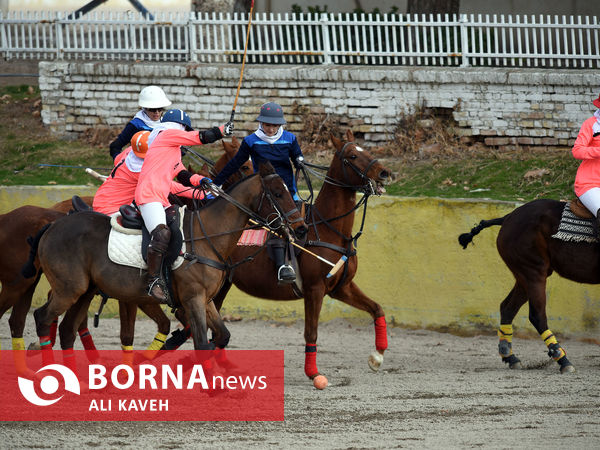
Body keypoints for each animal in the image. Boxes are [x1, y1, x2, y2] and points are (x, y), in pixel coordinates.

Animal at [24, 163, 304, 358]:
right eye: (278, 193)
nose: (300, 229)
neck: (207, 235)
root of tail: (51, 226)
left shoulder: (206, 299)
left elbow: (222, 336)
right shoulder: (193, 298)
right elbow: (202, 344)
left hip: (85, 291)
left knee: (67, 329)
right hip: (69, 289)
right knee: (42, 317)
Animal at [197, 130, 392, 380]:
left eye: (365, 149)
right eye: (352, 156)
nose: (384, 173)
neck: (329, 229)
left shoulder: (341, 287)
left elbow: (377, 308)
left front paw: (377, 357)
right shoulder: (314, 289)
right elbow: (311, 333)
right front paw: (314, 374)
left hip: (221, 287)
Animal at [458, 199, 588, 374]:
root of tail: (508, 217)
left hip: (524, 276)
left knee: (507, 307)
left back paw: (510, 356)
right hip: (533, 272)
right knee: (537, 315)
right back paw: (562, 359)